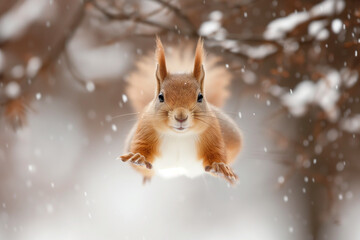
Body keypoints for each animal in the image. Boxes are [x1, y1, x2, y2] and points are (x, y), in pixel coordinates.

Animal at [120, 37, 242, 184]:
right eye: (161, 97)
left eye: (200, 97)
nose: (181, 117)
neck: (179, 136)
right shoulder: (145, 130)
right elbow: (141, 146)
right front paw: (139, 157)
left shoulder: (213, 133)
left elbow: (216, 153)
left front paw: (219, 166)